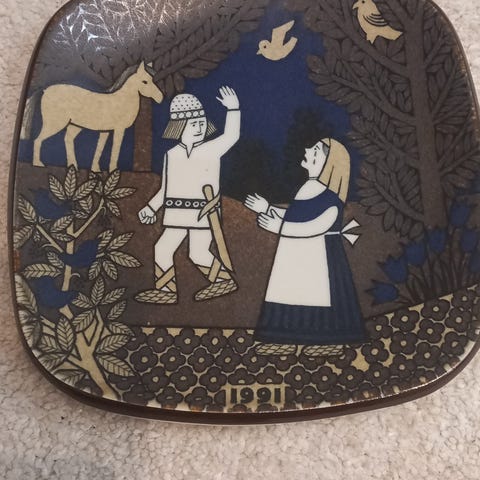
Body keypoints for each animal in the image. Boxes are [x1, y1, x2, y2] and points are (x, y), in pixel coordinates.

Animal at [31, 61, 163, 172]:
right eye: (145, 81)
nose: (161, 98)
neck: (122, 100)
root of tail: (45, 90)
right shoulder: (119, 129)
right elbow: (115, 149)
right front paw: (113, 170)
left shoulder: (105, 131)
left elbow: (99, 148)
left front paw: (95, 169)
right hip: (55, 123)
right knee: (37, 140)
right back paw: (38, 163)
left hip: (75, 125)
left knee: (67, 139)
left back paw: (73, 166)